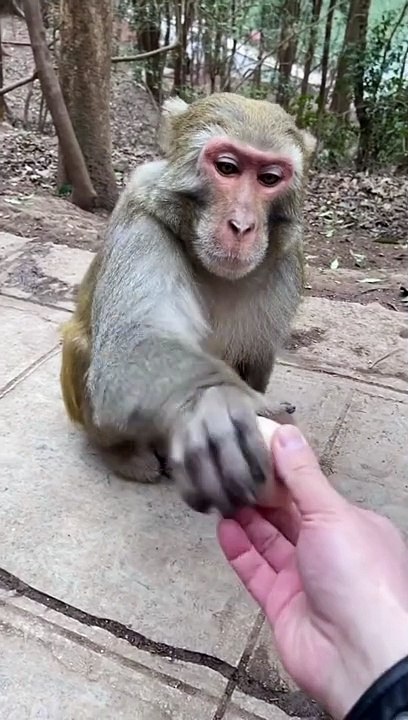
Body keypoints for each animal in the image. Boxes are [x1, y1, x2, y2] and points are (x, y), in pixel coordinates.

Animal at [60, 92, 316, 518]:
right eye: (227, 168)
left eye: (269, 178)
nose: (242, 226)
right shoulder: (143, 222)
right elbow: (131, 351)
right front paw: (213, 403)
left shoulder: (288, 259)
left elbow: (257, 355)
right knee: (82, 346)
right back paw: (124, 455)